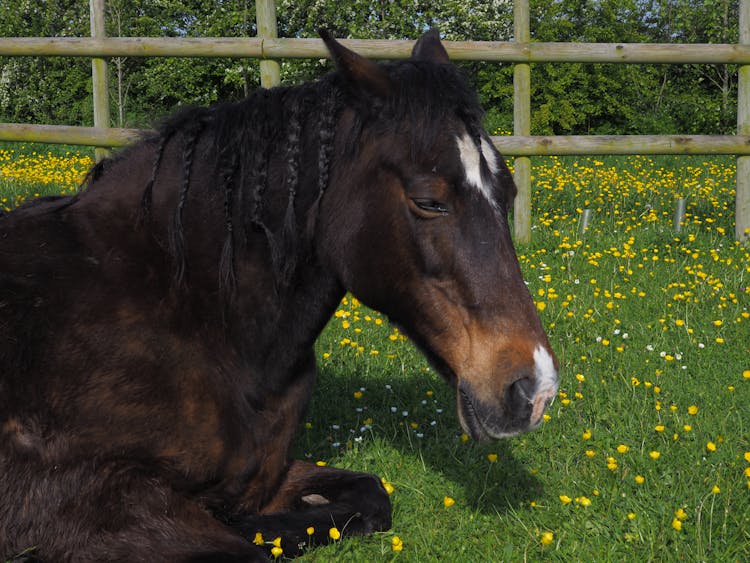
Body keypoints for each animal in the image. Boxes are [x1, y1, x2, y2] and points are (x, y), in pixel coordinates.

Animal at [0, 32, 560, 563]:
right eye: (428, 201)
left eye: (509, 193)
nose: (535, 390)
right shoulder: (74, 502)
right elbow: (243, 550)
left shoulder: (265, 474)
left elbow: (369, 493)